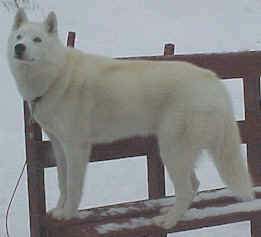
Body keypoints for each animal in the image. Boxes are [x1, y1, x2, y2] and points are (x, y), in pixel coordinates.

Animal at [7, 8, 252, 228]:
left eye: (37, 40)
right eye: (19, 37)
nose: (19, 48)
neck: (56, 76)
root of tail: (212, 80)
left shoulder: (76, 147)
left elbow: (73, 185)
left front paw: (68, 214)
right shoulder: (59, 146)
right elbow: (62, 182)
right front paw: (60, 210)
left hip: (172, 151)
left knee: (186, 189)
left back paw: (168, 221)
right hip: (177, 152)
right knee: (193, 185)